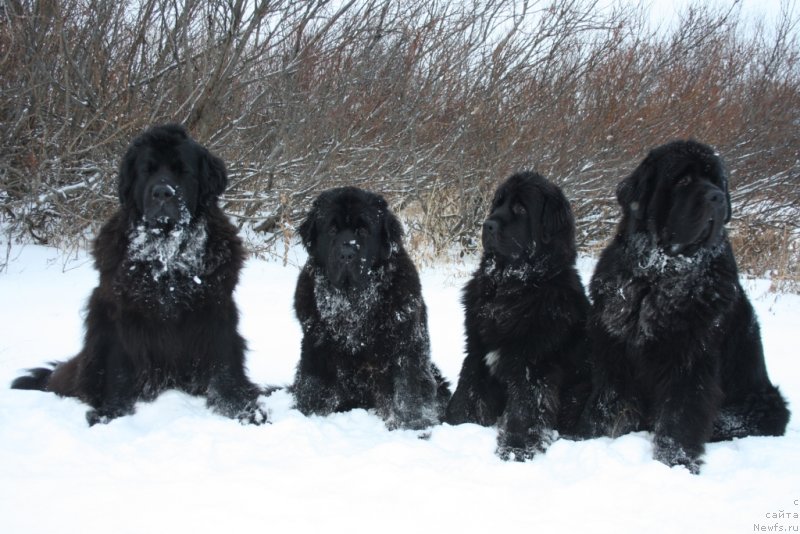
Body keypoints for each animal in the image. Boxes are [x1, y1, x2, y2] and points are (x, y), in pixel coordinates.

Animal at [11, 124, 268, 428]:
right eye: (147, 170)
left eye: (183, 171)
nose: (162, 193)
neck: (167, 258)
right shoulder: (121, 317)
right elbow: (118, 367)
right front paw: (111, 413)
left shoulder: (215, 312)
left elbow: (223, 363)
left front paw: (241, 409)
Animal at [290, 188, 450, 432]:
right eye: (332, 229)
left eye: (364, 230)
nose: (347, 253)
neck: (353, 303)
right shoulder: (316, 346)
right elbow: (313, 387)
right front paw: (309, 417)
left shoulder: (406, 346)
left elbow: (409, 389)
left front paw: (414, 426)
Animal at [446, 173, 592, 460]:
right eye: (498, 204)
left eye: (521, 209)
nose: (487, 225)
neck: (512, 289)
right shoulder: (477, 352)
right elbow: (466, 395)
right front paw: (452, 426)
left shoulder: (533, 364)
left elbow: (525, 411)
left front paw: (516, 449)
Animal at [580, 140, 792, 476]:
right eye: (683, 181)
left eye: (716, 181)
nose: (717, 197)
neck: (658, 277)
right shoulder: (614, 351)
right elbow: (608, 406)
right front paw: (595, 440)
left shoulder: (689, 360)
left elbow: (680, 417)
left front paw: (675, 465)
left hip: (764, 403)